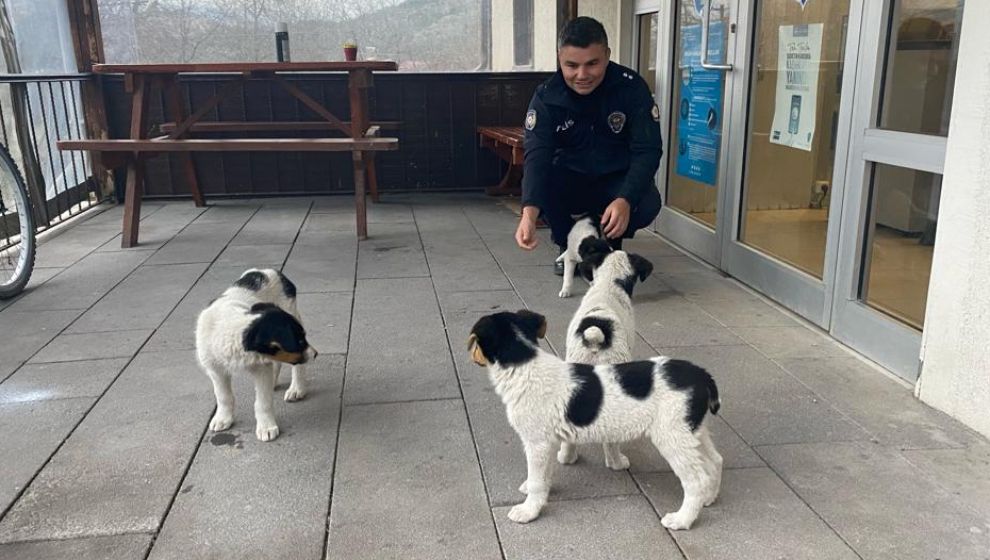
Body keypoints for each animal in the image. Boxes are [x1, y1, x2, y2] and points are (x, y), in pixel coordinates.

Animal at [194, 268, 318, 442]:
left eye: (303, 339)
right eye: (299, 342)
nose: (315, 354)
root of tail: (271, 271)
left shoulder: (261, 368)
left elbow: (262, 402)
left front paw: (266, 427)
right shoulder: (215, 369)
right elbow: (223, 396)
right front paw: (223, 418)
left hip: (291, 309)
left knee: (297, 367)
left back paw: (296, 389)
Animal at [468, 310, 724, 528]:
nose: (471, 355)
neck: (523, 363)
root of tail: (702, 375)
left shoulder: (537, 443)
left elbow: (538, 480)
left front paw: (529, 510)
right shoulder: (547, 442)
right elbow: (544, 475)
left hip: (672, 437)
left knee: (696, 479)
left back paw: (682, 519)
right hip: (692, 431)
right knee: (715, 461)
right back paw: (708, 498)